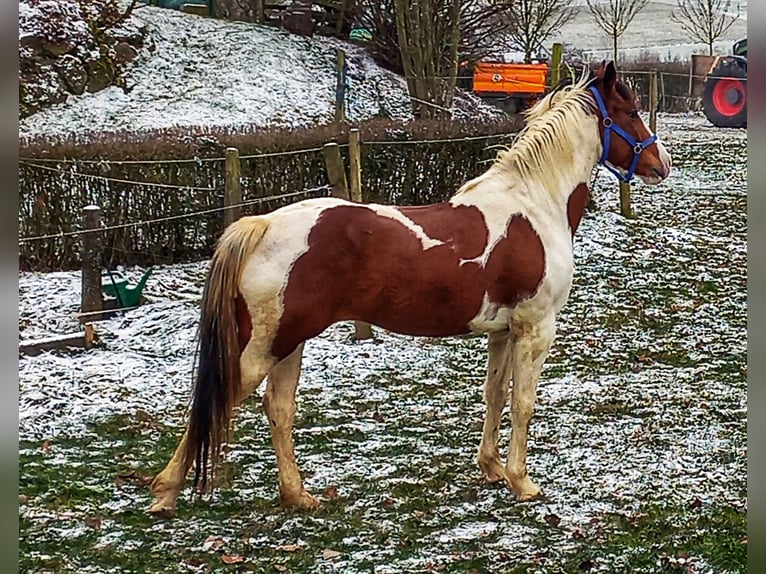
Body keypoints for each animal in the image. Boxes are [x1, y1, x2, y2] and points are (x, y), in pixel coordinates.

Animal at [148, 62, 672, 516]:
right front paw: (522, 482)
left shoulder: (503, 331)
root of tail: (259, 225)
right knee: (217, 401)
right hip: (264, 346)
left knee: (278, 408)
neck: (533, 205)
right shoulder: (535, 329)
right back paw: (166, 492)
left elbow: (494, 395)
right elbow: (523, 403)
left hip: (289, 343)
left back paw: (297, 496)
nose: (661, 163)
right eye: (629, 111)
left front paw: (491, 468)